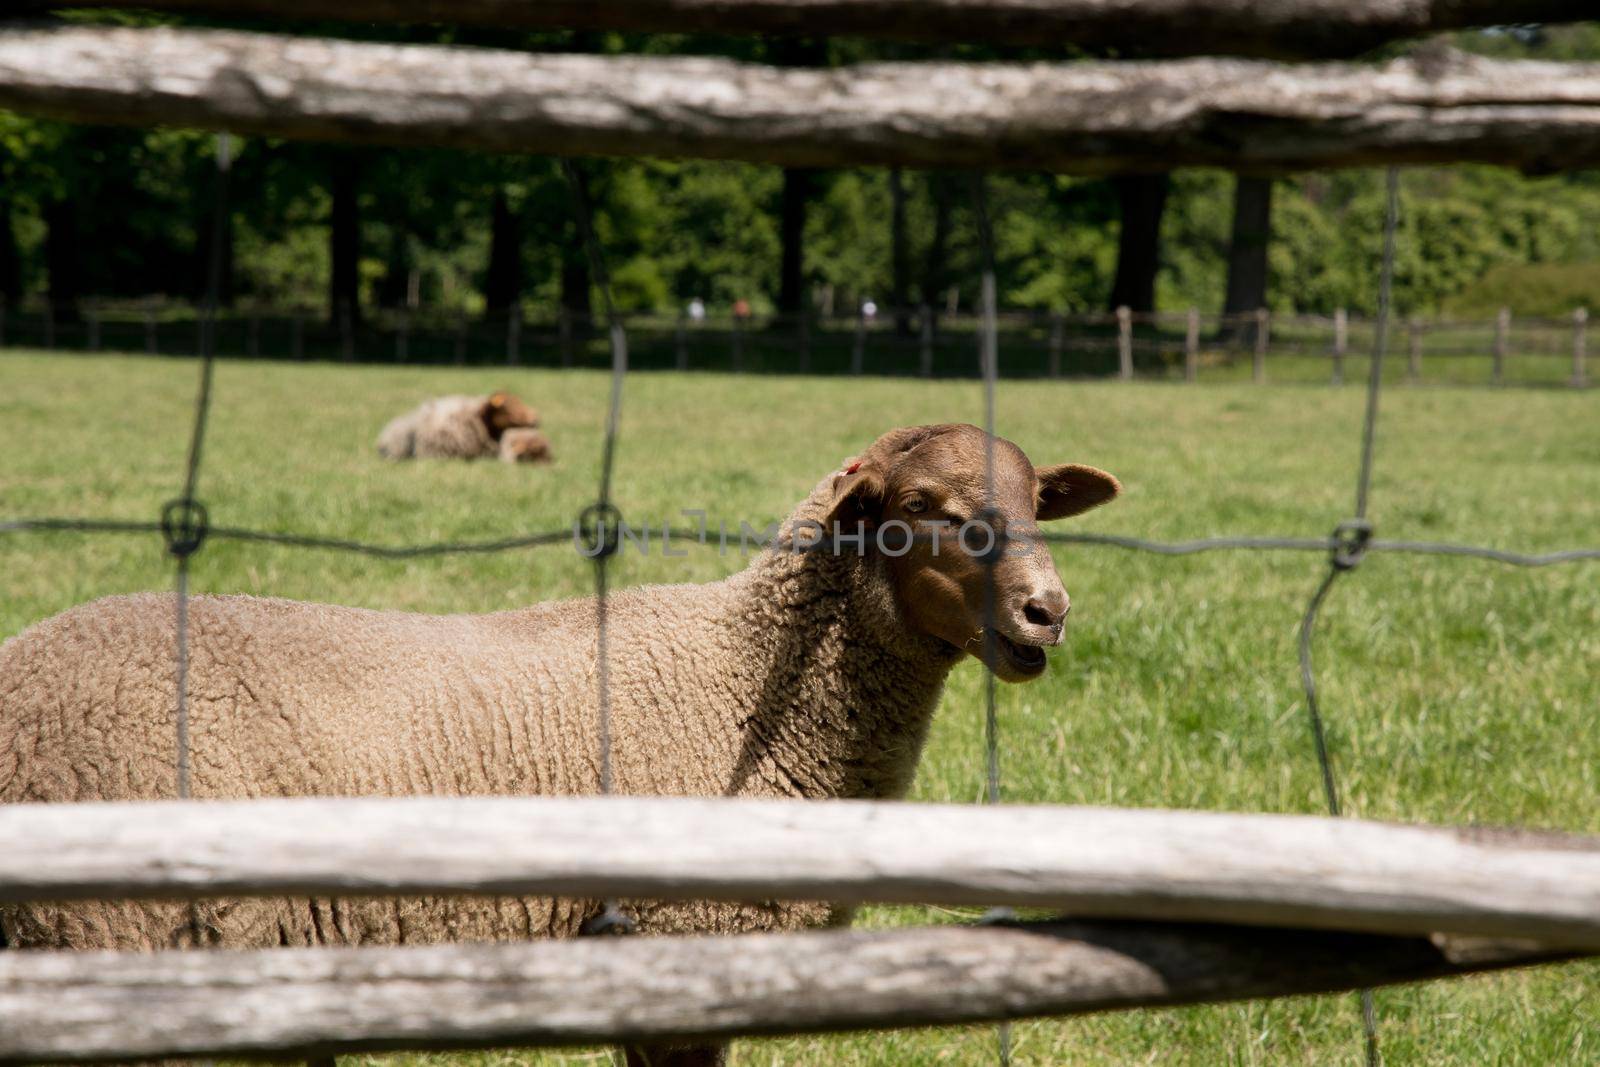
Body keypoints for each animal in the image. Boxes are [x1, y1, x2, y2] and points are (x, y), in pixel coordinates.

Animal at [0, 422, 1120, 1062]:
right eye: (922, 508)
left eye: (1037, 503)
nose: (1047, 612)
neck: (745, 677)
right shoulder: (685, 945)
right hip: (115, 938)